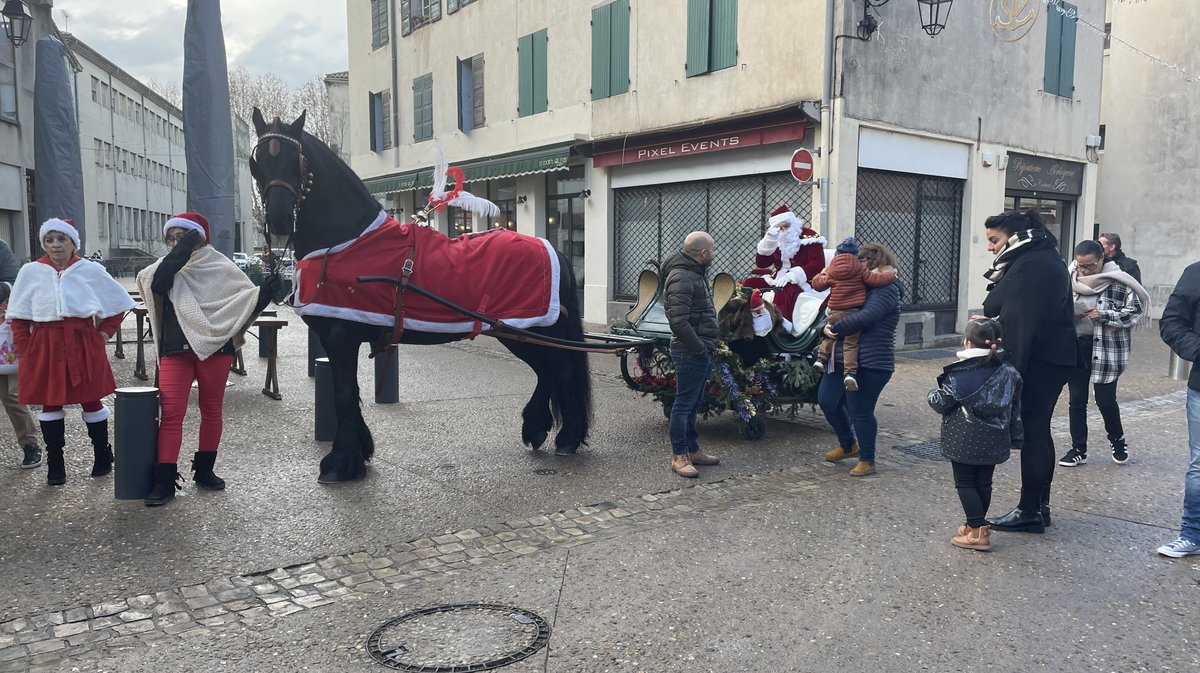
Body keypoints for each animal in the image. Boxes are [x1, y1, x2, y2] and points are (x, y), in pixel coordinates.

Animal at [249, 107, 595, 479]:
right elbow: (349, 394)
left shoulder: (341, 336)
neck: (349, 241)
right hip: (518, 333)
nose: (279, 219)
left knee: (562, 372)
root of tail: (552, 248)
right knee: (547, 371)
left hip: (534, 329)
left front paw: (340, 461)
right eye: (258, 161)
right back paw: (537, 427)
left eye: (295, 160)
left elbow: (344, 393)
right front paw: (359, 452)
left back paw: (566, 438)